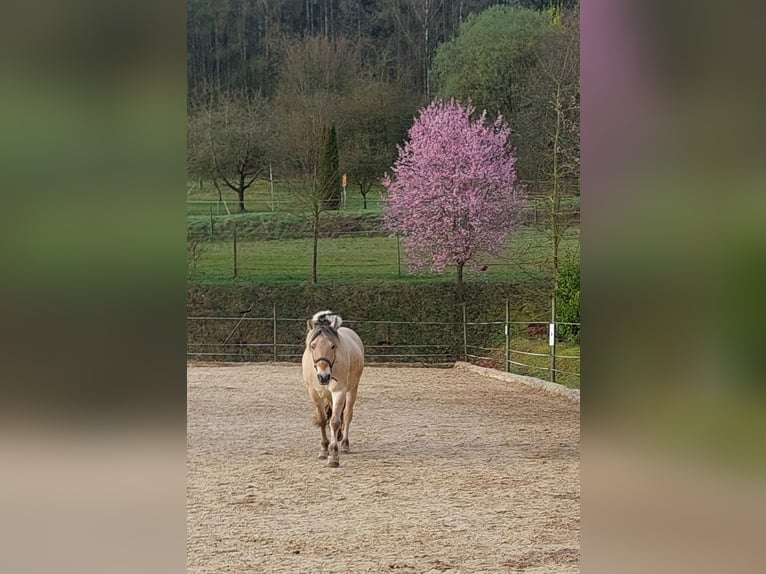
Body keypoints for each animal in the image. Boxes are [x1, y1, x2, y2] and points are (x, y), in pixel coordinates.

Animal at [301, 310, 365, 467]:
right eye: (313, 346)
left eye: (332, 346)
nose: (323, 376)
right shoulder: (313, 392)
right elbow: (323, 419)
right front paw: (324, 449)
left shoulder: (339, 392)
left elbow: (335, 421)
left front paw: (334, 456)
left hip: (353, 388)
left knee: (347, 414)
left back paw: (345, 443)